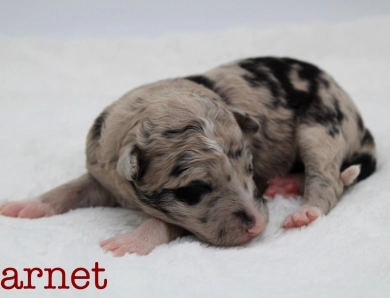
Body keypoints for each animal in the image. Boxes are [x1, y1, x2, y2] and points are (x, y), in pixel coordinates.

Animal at [0, 56, 378, 256]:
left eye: (250, 168)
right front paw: (27, 205)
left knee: (328, 178)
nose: (258, 226)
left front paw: (129, 242)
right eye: (195, 189)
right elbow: (70, 189)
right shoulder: (102, 174)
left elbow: (165, 221)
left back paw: (304, 211)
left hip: (321, 127)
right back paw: (285, 183)